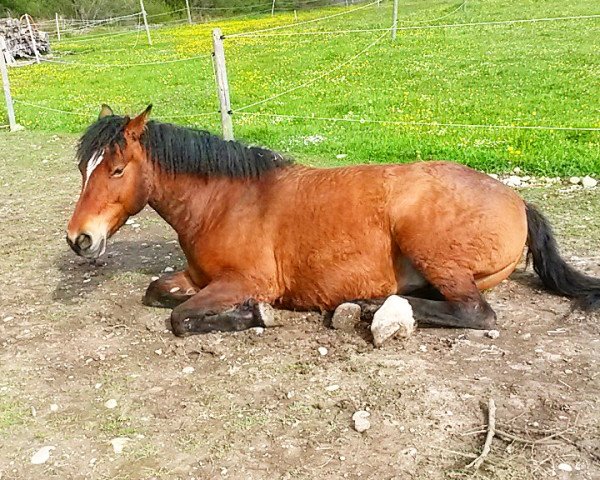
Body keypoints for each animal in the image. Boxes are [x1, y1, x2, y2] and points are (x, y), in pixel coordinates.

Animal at [67, 105, 600, 336]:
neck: (226, 200)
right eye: (82, 168)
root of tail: (516, 200)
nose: (79, 239)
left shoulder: (245, 281)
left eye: (117, 170)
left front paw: (254, 316)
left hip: (430, 247)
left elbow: (179, 318)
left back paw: (365, 308)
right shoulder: (197, 277)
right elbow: (157, 292)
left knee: (475, 313)